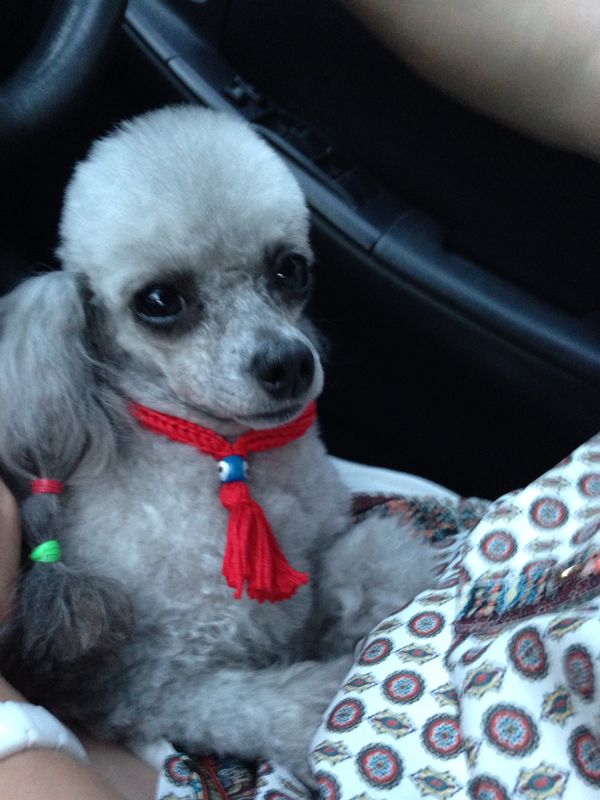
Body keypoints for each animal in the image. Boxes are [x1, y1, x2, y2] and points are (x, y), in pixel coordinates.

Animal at [0, 105, 434, 782]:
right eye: (159, 301)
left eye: (290, 269)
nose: (288, 364)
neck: (228, 451)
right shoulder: (153, 688)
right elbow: (284, 708)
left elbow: (372, 561)